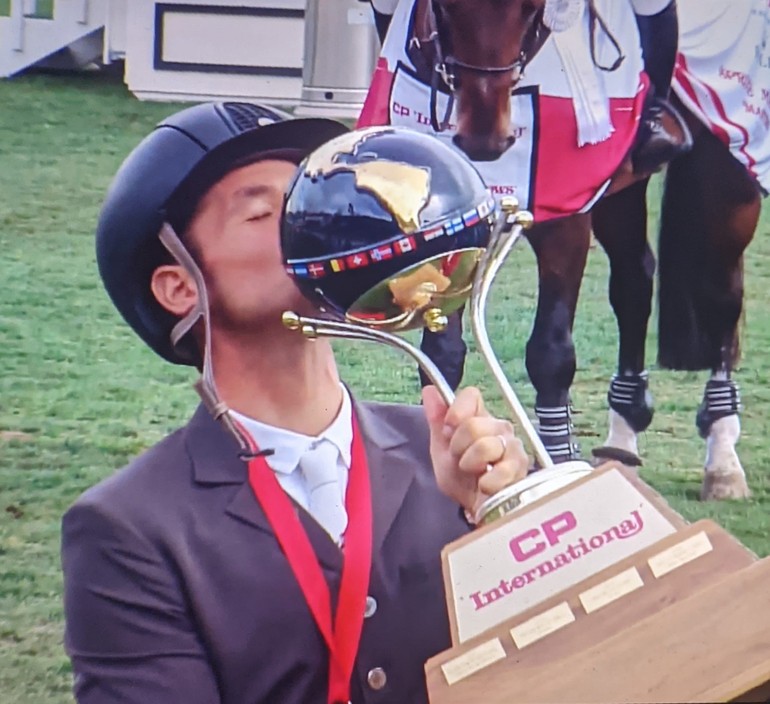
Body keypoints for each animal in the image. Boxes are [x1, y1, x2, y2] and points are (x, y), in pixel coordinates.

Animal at [362, 0, 760, 500]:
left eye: (534, 9)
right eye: (445, 8)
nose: (484, 140)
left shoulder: (568, 220)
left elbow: (550, 355)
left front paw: (557, 469)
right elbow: (442, 351)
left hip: (728, 174)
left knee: (721, 296)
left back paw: (723, 460)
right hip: (620, 193)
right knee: (634, 282)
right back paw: (623, 436)